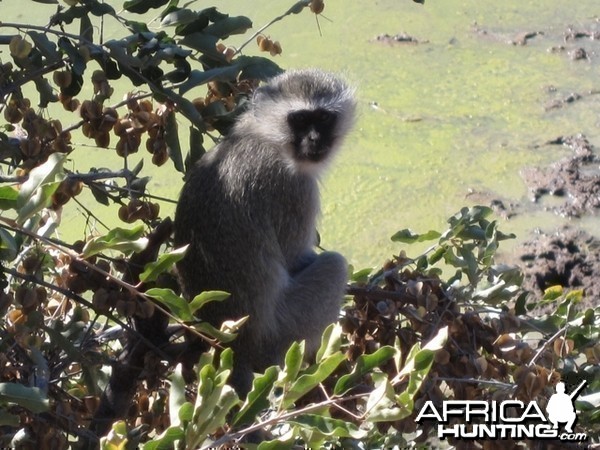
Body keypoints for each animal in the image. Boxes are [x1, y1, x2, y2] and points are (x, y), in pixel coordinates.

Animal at [173, 68, 356, 396]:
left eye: (323, 118)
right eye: (299, 120)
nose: (314, 139)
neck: (266, 136)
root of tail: (233, 349)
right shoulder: (294, 188)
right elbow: (295, 258)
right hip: (281, 336)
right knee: (335, 265)